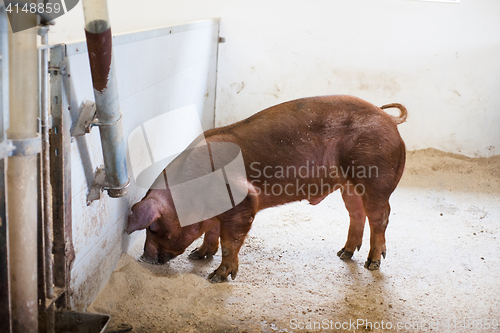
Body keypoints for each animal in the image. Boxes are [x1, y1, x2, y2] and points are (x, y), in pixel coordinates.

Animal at [125, 94, 406, 282]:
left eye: (153, 227)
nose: (145, 258)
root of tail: (389, 119)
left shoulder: (244, 202)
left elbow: (229, 242)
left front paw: (216, 277)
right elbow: (212, 232)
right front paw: (197, 255)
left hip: (376, 177)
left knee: (381, 217)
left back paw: (372, 263)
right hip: (349, 183)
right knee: (357, 214)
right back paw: (344, 254)